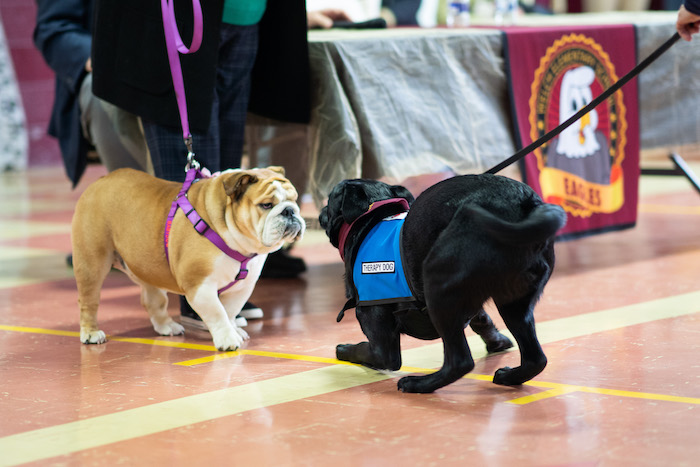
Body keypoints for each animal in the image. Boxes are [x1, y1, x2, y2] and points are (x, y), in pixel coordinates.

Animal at [320, 176, 568, 394]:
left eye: (330, 198)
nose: (321, 211)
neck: (369, 221)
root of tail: (525, 204)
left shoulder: (380, 343)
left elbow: (365, 350)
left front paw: (344, 349)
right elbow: (482, 320)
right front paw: (497, 341)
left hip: (437, 283)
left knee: (460, 361)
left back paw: (419, 384)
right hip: (514, 303)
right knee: (536, 358)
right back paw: (510, 376)